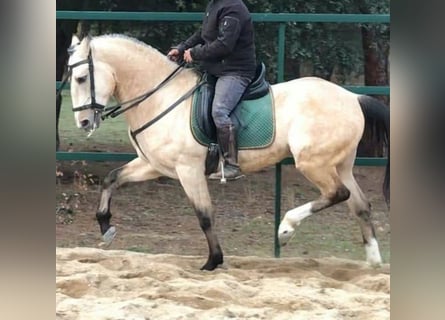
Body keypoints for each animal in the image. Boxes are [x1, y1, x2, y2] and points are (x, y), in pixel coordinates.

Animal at [67, 34, 388, 270]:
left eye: (81, 78)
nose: (83, 122)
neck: (161, 98)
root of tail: (352, 97)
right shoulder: (153, 165)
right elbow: (112, 178)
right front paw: (106, 227)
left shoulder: (188, 170)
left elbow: (204, 215)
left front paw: (213, 261)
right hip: (340, 165)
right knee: (360, 205)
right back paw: (373, 263)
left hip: (313, 163)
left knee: (337, 194)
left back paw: (285, 229)